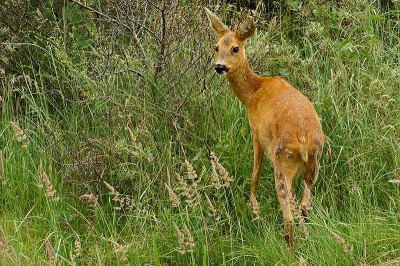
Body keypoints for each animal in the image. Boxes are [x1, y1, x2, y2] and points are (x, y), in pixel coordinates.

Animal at [206, 8, 324, 249]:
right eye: (216, 46)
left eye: (235, 48)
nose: (219, 66)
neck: (253, 92)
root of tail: (304, 140)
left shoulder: (256, 131)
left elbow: (255, 172)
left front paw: (252, 206)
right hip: (314, 163)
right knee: (304, 207)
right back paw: (305, 240)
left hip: (281, 157)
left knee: (289, 214)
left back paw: (288, 247)